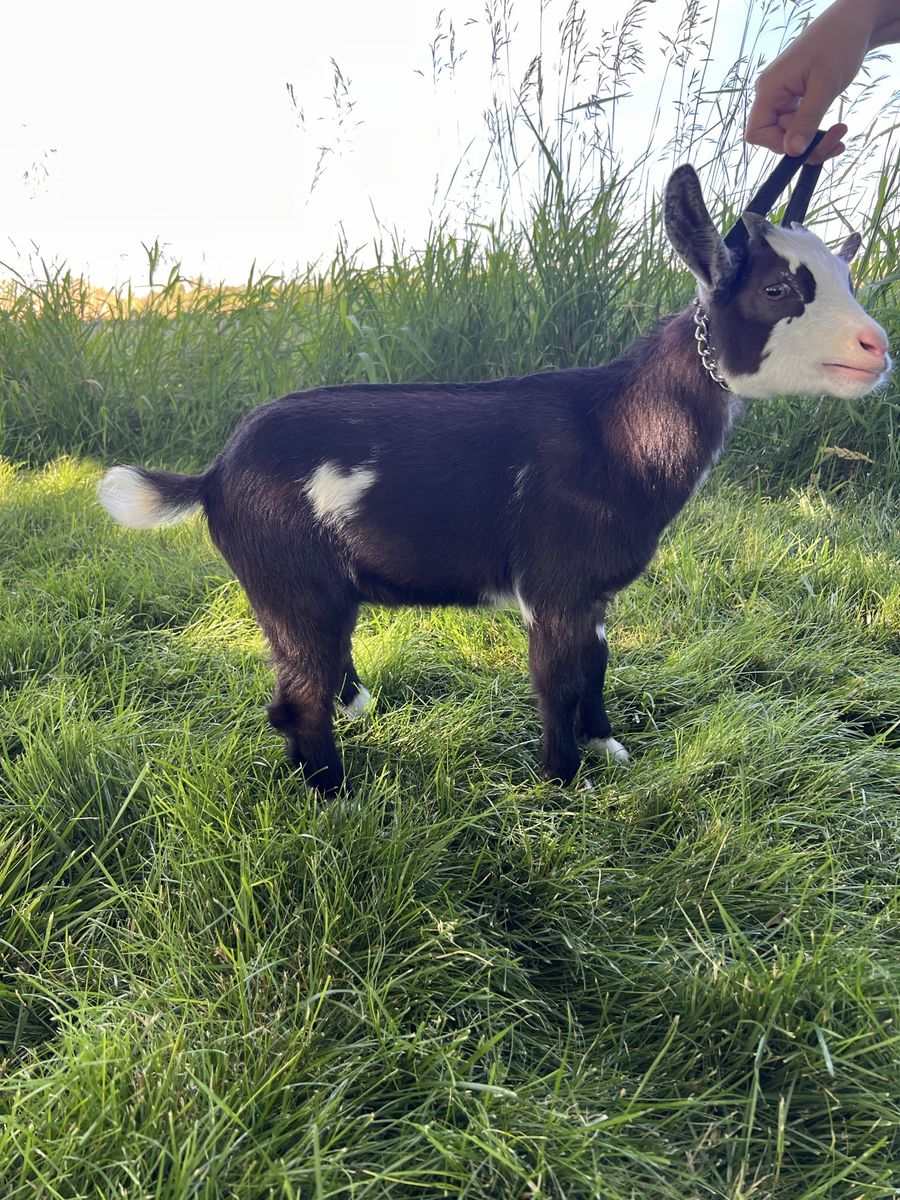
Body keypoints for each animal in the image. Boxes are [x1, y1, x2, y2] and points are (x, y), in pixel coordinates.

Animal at [99, 167, 891, 794]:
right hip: (290, 578)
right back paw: (335, 797)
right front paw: (564, 783)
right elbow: (555, 680)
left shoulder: (593, 592)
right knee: (295, 696)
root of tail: (213, 475)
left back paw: (355, 715)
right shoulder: (553, 584)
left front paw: (607, 746)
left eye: (847, 279)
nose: (877, 347)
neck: (616, 431)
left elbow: (597, 664)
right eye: (778, 289)